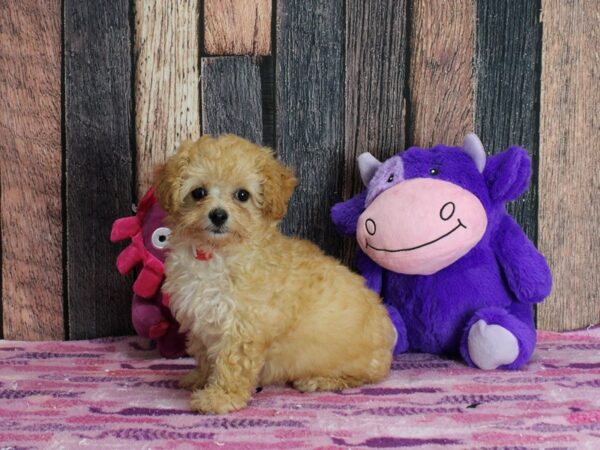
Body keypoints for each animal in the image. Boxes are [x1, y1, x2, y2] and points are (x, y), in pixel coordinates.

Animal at [157, 134, 396, 414]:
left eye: (242, 195)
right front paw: (199, 379)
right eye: (198, 193)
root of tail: (388, 334)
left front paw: (219, 397)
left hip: (356, 362)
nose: (218, 215)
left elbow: (231, 364)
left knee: (361, 377)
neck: (216, 254)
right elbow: (205, 355)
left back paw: (317, 380)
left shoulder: (244, 326)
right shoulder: (201, 322)